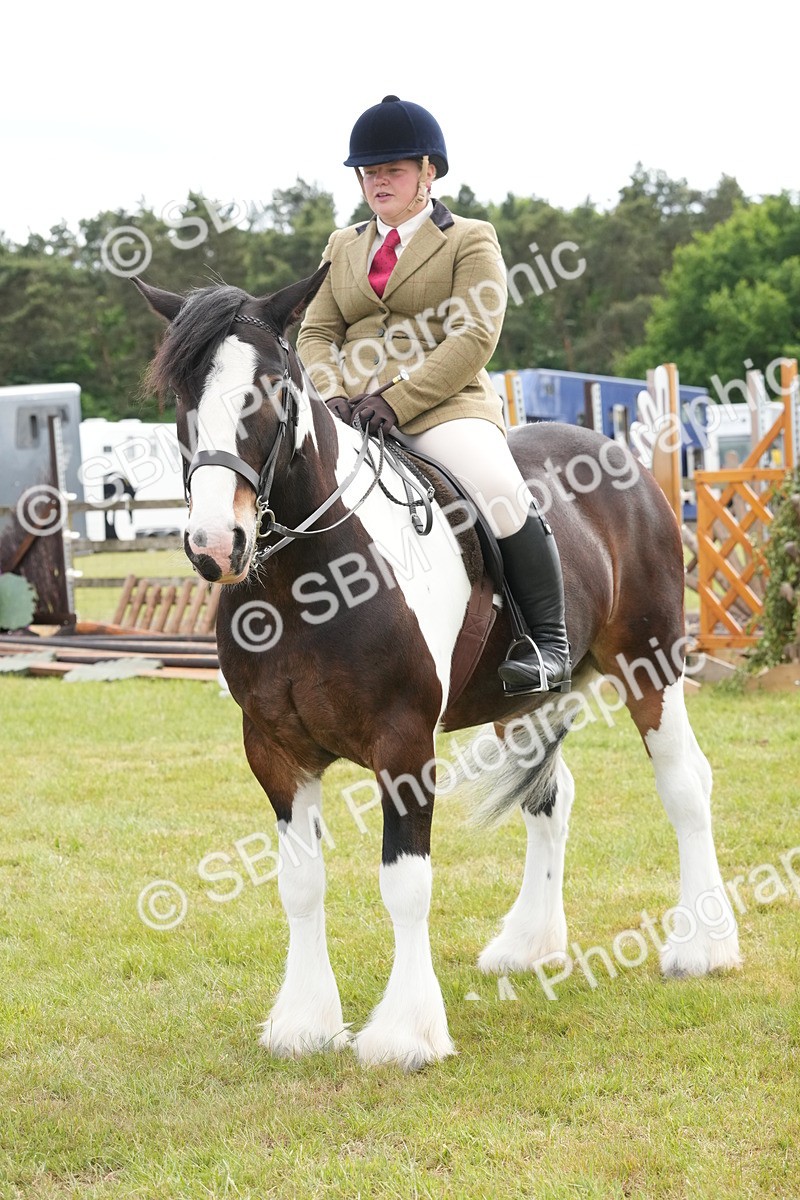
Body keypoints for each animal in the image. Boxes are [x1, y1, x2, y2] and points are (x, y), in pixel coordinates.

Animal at [134, 264, 741, 1071]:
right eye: (182, 396)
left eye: (272, 391)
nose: (214, 545)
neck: (308, 580)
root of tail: (618, 457)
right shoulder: (273, 750)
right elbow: (300, 883)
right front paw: (304, 1022)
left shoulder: (403, 744)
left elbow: (406, 883)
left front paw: (406, 1033)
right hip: (526, 699)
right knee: (552, 799)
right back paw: (529, 945)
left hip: (650, 664)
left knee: (684, 786)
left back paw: (702, 946)